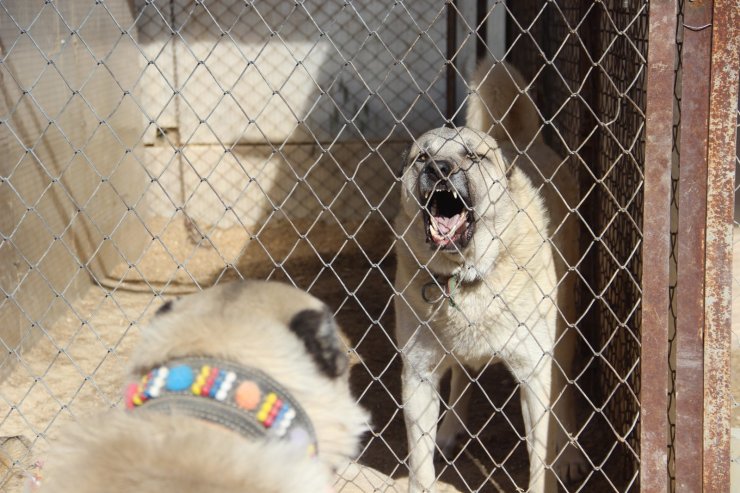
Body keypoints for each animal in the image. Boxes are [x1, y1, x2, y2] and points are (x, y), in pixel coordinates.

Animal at [396, 62, 588, 492]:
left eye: (472, 156)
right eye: (421, 157)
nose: (438, 169)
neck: (469, 276)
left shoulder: (534, 374)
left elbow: (541, 458)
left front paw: (554, 465)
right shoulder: (418, 375)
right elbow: (419, 465)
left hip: (562, 332)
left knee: (565, 390)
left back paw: (570, 452)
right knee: (461, 377)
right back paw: (450, 430)